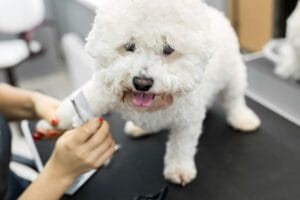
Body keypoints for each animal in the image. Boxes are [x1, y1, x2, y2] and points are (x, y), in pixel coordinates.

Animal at [39, 0, 260, 186]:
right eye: (129, 46)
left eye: (168, 49)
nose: (142, 83)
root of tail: (216, 14)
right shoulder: (102, 89)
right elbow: (75, 104)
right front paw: (52, 123)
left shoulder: (187, 119)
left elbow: (181, 145)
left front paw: (179, 169)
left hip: (233, 75)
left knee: (234, 99)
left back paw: (242, 119)